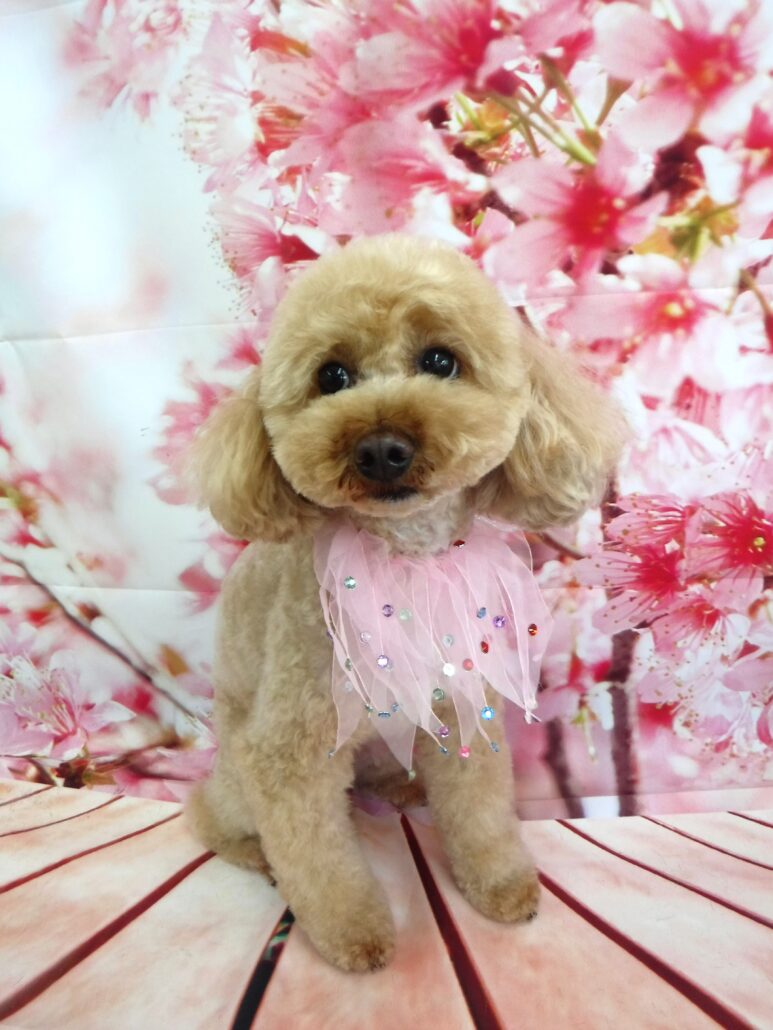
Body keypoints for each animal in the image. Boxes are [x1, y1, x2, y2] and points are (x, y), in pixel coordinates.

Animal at [186, 234, 623, 972]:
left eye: (440, 361)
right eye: (331, 376)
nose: (382, 448)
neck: (408, 560)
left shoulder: (463, 703)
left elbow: (480, 808)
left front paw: (499, 883)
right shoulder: (287, 748)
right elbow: (316, 854)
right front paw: (350, 931)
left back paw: (401, 787)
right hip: (240, 764)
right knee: (214, 811)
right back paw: (246, 844)